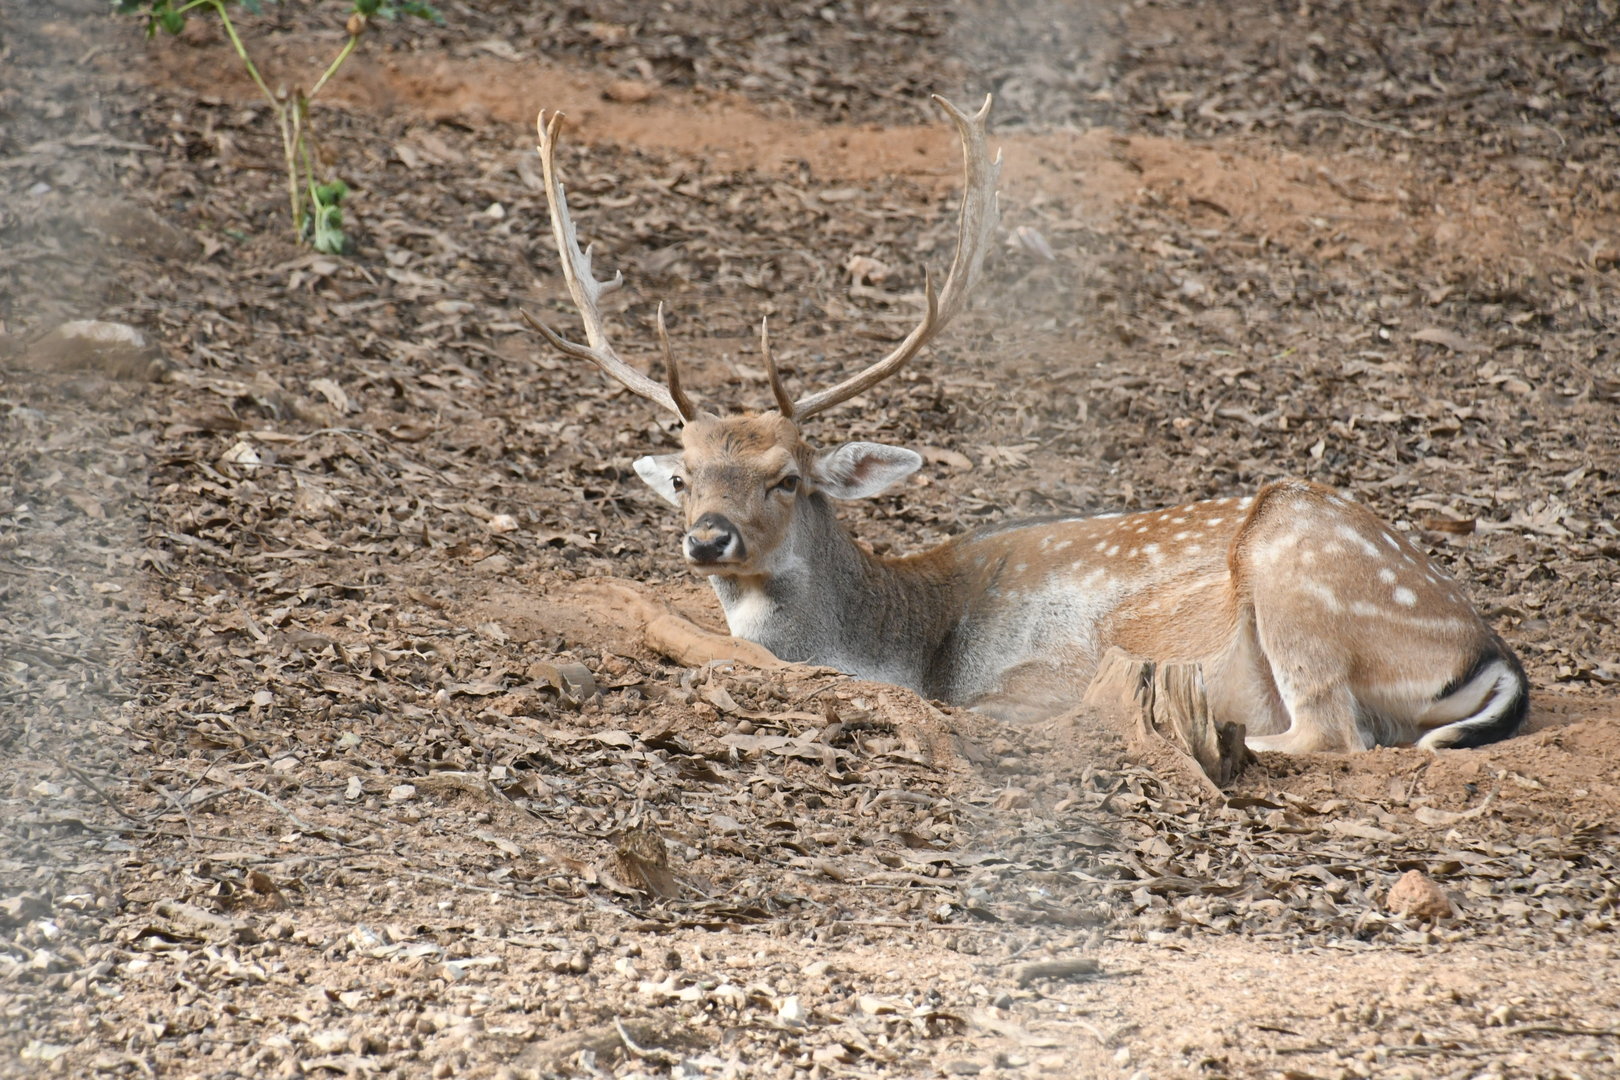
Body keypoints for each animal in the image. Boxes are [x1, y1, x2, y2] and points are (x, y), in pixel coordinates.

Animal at [523, 95, 1529, 755]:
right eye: (685, 473)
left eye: (787, 476)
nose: (708, 538)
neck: (907, 639)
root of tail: (1489, 650)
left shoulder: (1022, 681)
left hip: (1304, 575)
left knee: (1329, 733)